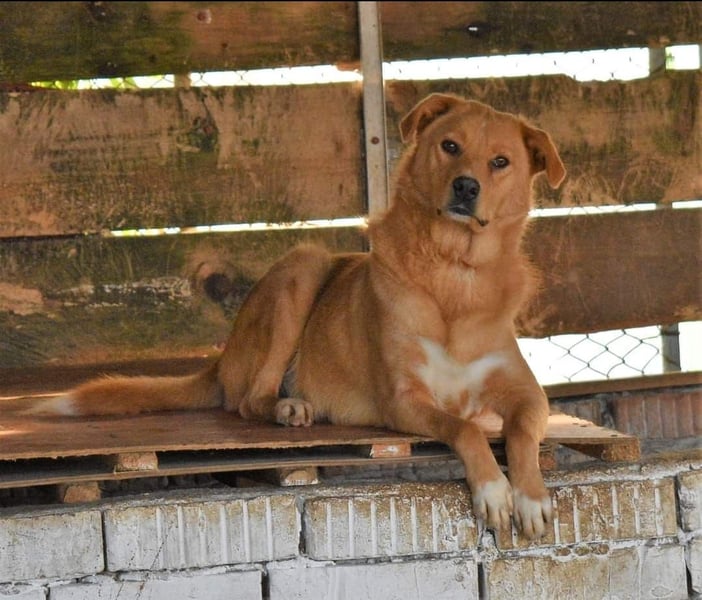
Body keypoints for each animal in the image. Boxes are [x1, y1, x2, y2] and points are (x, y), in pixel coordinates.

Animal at [29, 93, 566, 539]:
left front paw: (531, 496)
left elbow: (520, 431)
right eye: (449, 146)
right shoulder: (404, 399)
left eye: (501, 161)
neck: (455, 273)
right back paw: (289, 407)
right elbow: (466, 429)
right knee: (249, 400)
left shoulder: (528, 394)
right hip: (302, 267)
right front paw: (493, 490)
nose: (466, 186)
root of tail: (221, 359)